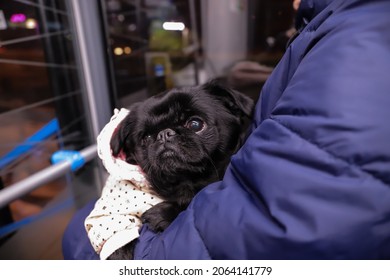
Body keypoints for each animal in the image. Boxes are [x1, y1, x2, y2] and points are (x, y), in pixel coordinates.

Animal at [107, 80, 253, 258]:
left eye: (195, 124)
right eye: (146, 138)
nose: (164, 134)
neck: (186, 181)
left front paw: (163, 213)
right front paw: (118, 253)